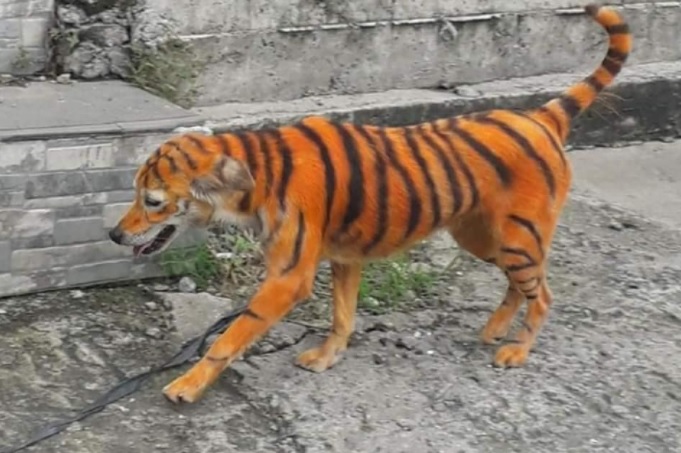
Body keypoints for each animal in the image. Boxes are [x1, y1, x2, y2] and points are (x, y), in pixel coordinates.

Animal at [109, 4, 631, 404]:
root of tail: (541, 115)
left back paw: (516, 351)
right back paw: (495, 330)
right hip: (484, 237)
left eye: (152, 201)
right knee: (521, 285)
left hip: (517, 237)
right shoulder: (344, 258)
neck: (255, 175)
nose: (114, 234)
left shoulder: (289, 276)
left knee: (543, 293)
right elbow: (343, 315)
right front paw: (326, 357)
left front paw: (187, 385)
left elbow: (231, 335)